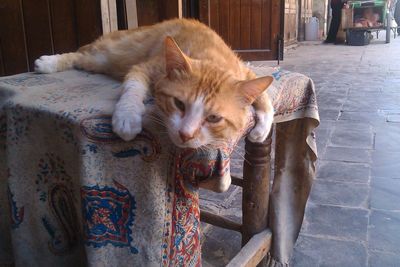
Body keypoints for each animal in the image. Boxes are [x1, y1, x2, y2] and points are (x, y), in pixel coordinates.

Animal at [34, 18, 274, 149]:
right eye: (179, 104)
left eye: (214, 118)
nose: (186, 135)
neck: (210, 58)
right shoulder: (145, 68)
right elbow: (132, 88)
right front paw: (127, 116)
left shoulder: (245, 71)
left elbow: (265, 97)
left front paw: (261, 130)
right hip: (109, 55)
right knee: (79, 54)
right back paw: (48, 62)